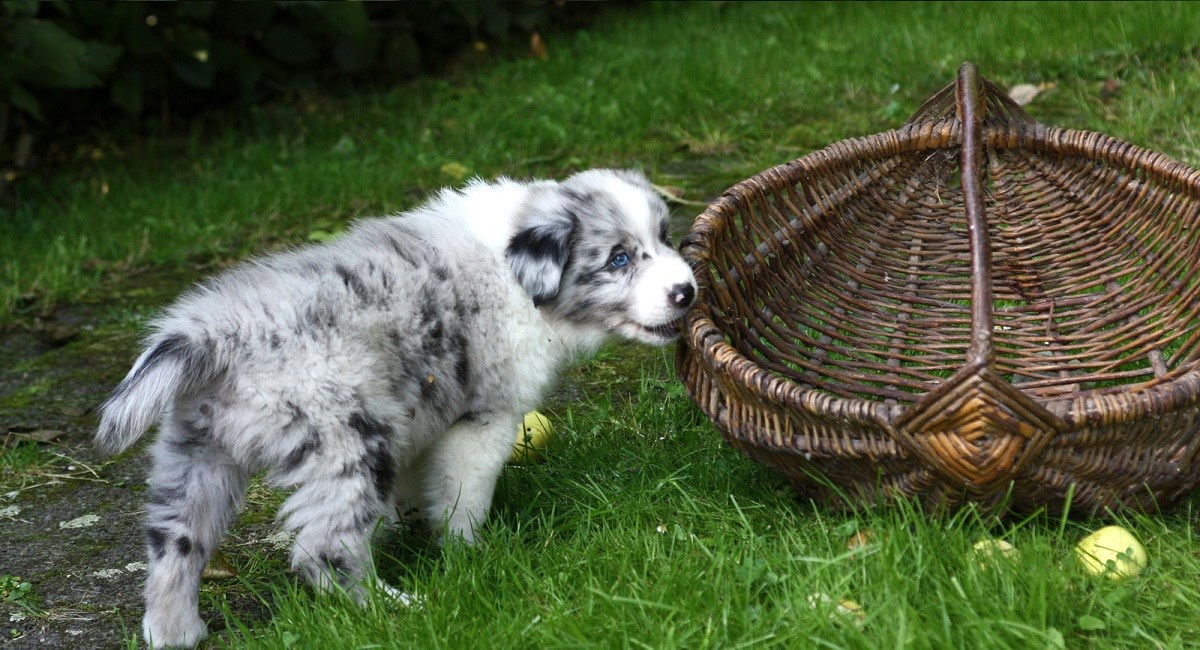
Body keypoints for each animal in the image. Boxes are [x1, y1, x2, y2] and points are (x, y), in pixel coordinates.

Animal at [98, 166, 700, 647]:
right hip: (349, 440)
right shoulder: (482, 423)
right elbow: (463, 501)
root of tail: (217, 335)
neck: (519, 279)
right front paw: (470, 557)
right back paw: (392, 611)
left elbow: (418, 491)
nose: (687, 292)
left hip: (196, 458)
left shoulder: (424, 422)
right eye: (618, 259)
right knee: (323, 546)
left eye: (665, 237)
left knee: (175, 549)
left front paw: (412, 528)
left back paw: (176, 633)